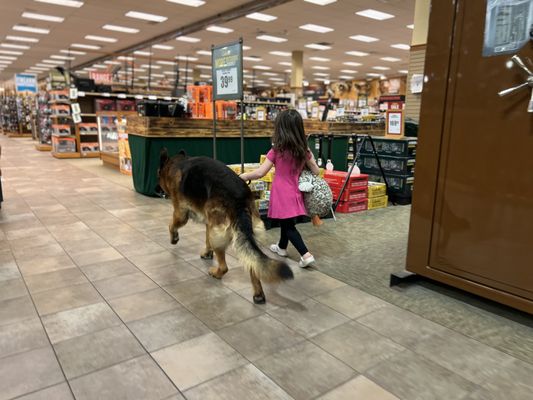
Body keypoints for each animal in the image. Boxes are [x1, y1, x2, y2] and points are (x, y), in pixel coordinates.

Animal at [158, 149, 294, 304]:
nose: (157, 190)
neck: (177, 164)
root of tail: (240, 201)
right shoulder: (208, 223)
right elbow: (206, 240)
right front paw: (207, 253)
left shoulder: (180, 213)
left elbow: (171, 225)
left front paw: (174, 238)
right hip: (238, 234)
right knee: (252, 261)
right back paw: (258, 293)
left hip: (216, 235)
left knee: (225, 267)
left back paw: (216, 273)